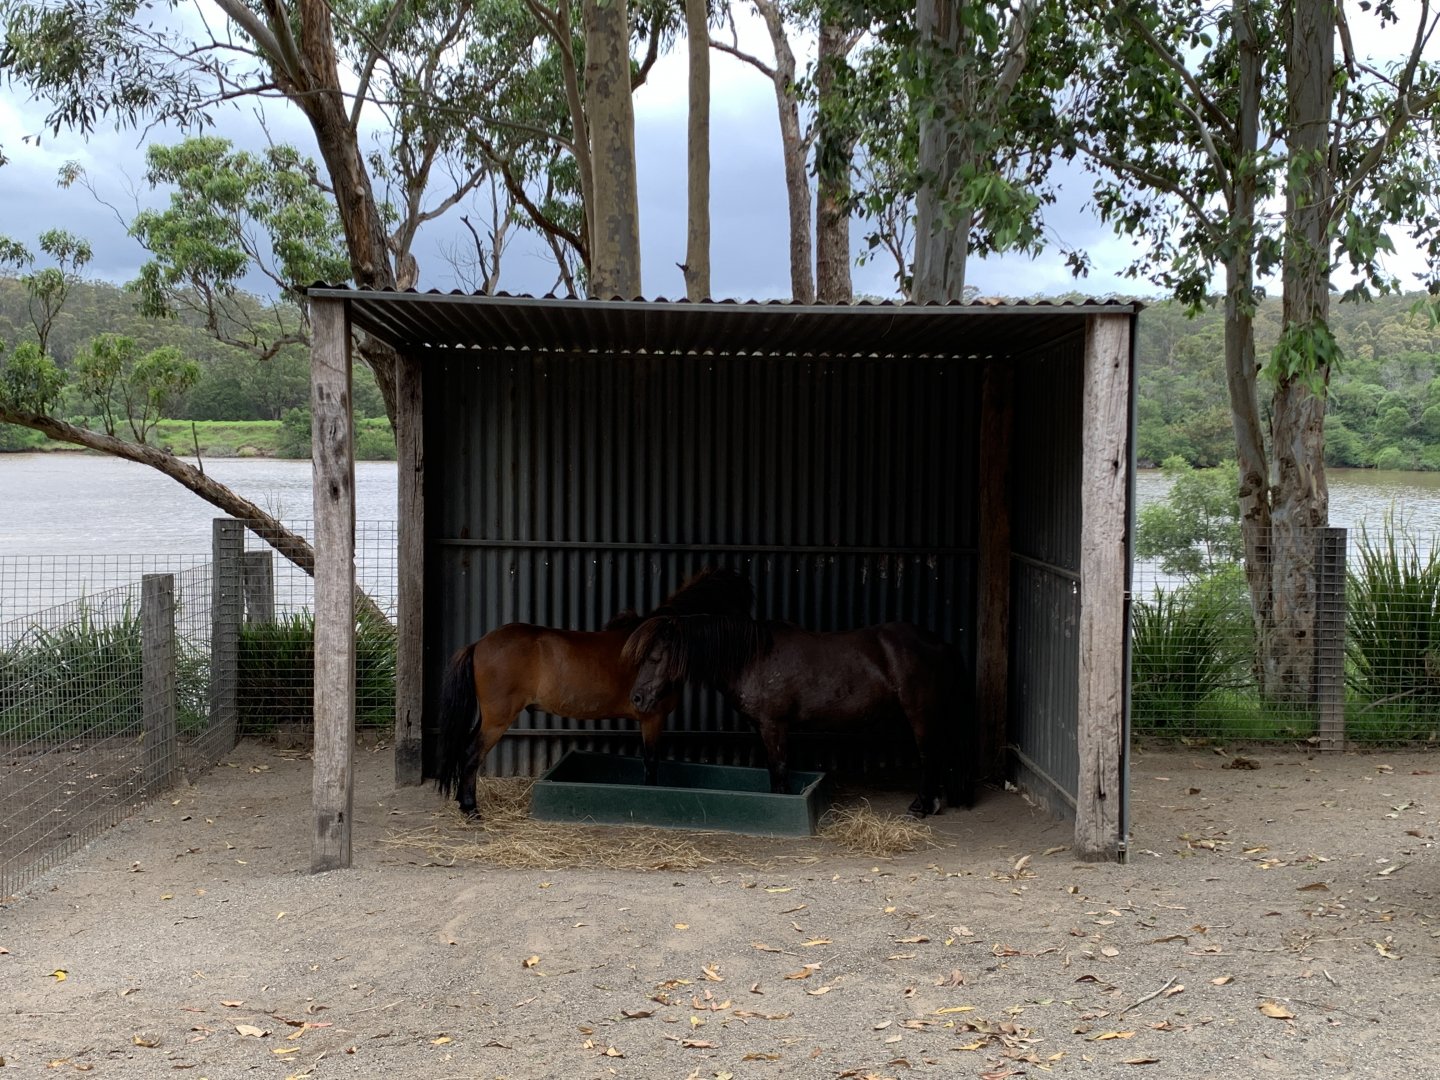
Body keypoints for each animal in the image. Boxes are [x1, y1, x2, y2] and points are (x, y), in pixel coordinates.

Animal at [434, 567, 755, 818]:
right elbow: (652, 764)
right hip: (497, 719)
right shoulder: (652, 717)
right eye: (739, 607)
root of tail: (479, 644)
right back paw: (471, 810)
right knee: (472, 754)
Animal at [623, 613, 971, 817]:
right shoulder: (761, 727)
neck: (752, 657)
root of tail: (942, 644)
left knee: (929, 753)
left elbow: (779, 769)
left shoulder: (774, 726)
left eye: (655, 657)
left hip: (921, 713)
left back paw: (921, 805)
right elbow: (771, 768)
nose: (637, 698)